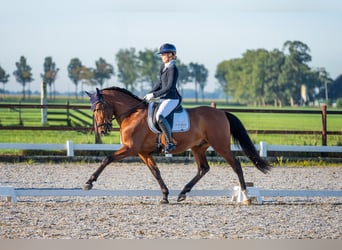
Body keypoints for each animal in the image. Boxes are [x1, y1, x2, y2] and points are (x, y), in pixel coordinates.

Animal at [83, 87, 270, 204]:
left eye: (99, 107)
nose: (103, 129)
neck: (132, 114)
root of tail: (221, 112)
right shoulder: (143, 153)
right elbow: (156, 172)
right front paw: (165, 196)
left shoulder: (131, 149)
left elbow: (107, 159)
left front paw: (89, 182)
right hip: (198, 147)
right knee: (203, 168)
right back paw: (182, 193)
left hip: (220, 145)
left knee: (236, 165)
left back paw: (245, 196)